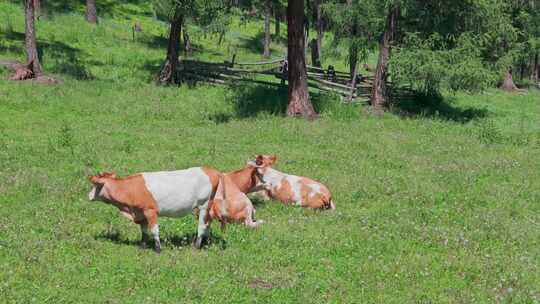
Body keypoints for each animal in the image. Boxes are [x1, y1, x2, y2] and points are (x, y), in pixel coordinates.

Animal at [88, 166, 221, 252]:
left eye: (96, 185)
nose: (88, 195)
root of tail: (211, 170)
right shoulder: (140, 212)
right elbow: (144, 231)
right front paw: (142, 246)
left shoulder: (150, 211)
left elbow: (154, 230)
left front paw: (158, 249)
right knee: (208, 224)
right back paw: (205, 242)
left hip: (204, 205)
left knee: (202, 226)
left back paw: (197, 246)